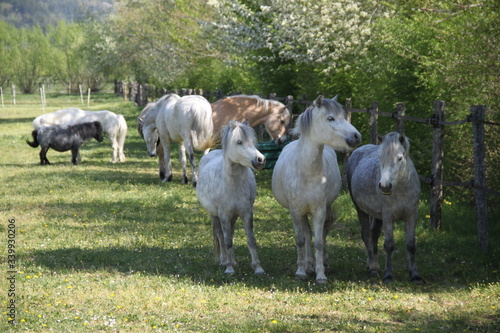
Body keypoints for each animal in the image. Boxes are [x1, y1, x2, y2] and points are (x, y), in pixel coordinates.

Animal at [196, 120, 268, 274]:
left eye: (252, 141)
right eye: (239, 142)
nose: (261, 159)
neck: (233, 185)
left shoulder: (246, 212)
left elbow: (251, 239)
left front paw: (258, 268)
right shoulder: (223, 214)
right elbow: (227, 240)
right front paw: (229, 269)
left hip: (233, 216)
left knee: (231, 233)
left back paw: (233, 260)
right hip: (214, 214)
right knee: (220, 234)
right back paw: (224, 260)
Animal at [272, 94, 362, 282]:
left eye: (343, 116)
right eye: (330, 118)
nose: (357, 136)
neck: (306, 173)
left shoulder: (320, 210)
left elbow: (319, 242)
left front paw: (321, 275)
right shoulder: (296, 211)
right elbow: (300, 240)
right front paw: (300, 271)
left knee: (322, 234)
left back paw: (323, 265)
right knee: (307, 234)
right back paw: (308, 266)